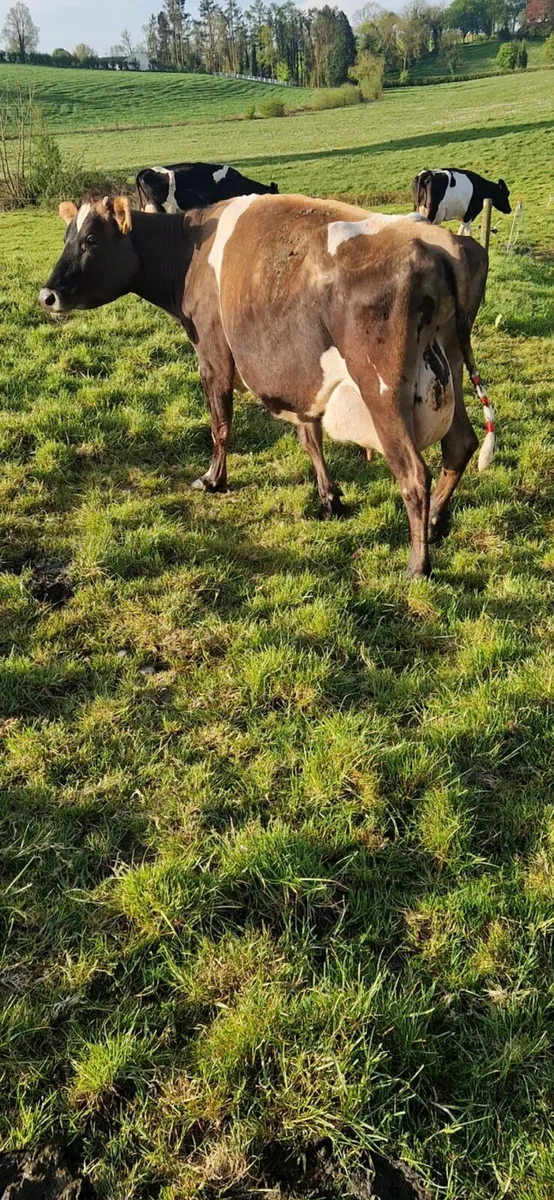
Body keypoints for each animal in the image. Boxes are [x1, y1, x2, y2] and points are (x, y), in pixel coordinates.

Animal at [39, 193, 495, 578]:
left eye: (91, 240)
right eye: (66, 237)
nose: (47, 296)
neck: (189, 248)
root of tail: (440, 242)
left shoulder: (213, 354)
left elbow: (220, 425)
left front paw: (213, 480)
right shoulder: (300, 375)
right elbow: (310, 437)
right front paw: (329, 498)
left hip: (382, 391)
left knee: (414, 474)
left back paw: (417, 565)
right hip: (451, 367)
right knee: (460, 445)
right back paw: (435, 523)